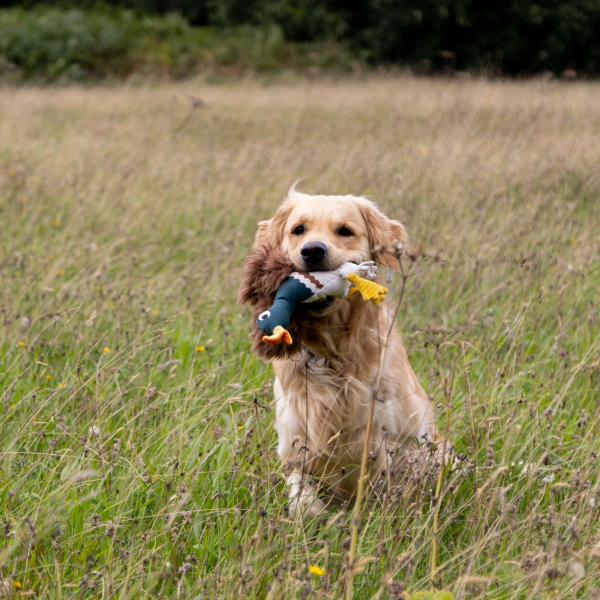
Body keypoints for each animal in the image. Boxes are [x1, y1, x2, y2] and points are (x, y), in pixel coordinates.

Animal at [247, 186, 436, 516]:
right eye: (299, 230)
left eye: (345, 231)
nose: (312, 251)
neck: (332, 354)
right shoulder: (295, 443)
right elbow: (303, 500)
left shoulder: (396, 442)